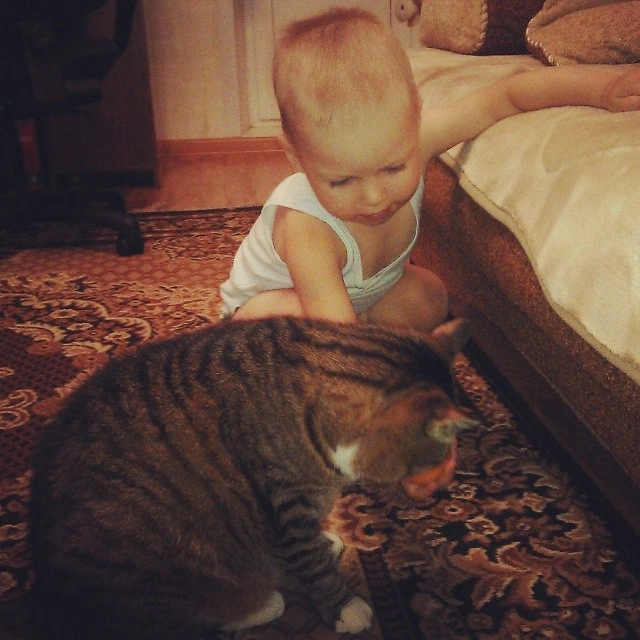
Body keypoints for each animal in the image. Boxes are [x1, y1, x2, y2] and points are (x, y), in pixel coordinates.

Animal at [29, 316, 478, 639]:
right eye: (439, 455)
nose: (441, 479)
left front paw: (327, 540)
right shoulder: (283, 503)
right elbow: (311, 562)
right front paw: (343, 607)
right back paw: (261, 603)